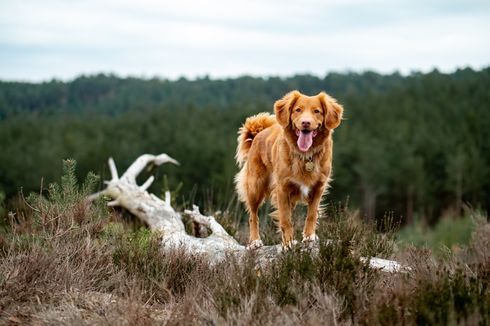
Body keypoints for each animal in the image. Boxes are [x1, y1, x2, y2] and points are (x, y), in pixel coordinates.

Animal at [234, 90, 342, 248]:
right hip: (255, 187)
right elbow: (285, 219)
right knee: (253, 215)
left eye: (317, 111)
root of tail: (258, 134)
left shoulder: (318, 187)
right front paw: (288, 243)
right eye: (298, 110)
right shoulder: (282, 188)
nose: (305, 123)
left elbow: (312, 214)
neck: (305, 155)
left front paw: (309, 236)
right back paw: (255, 241)